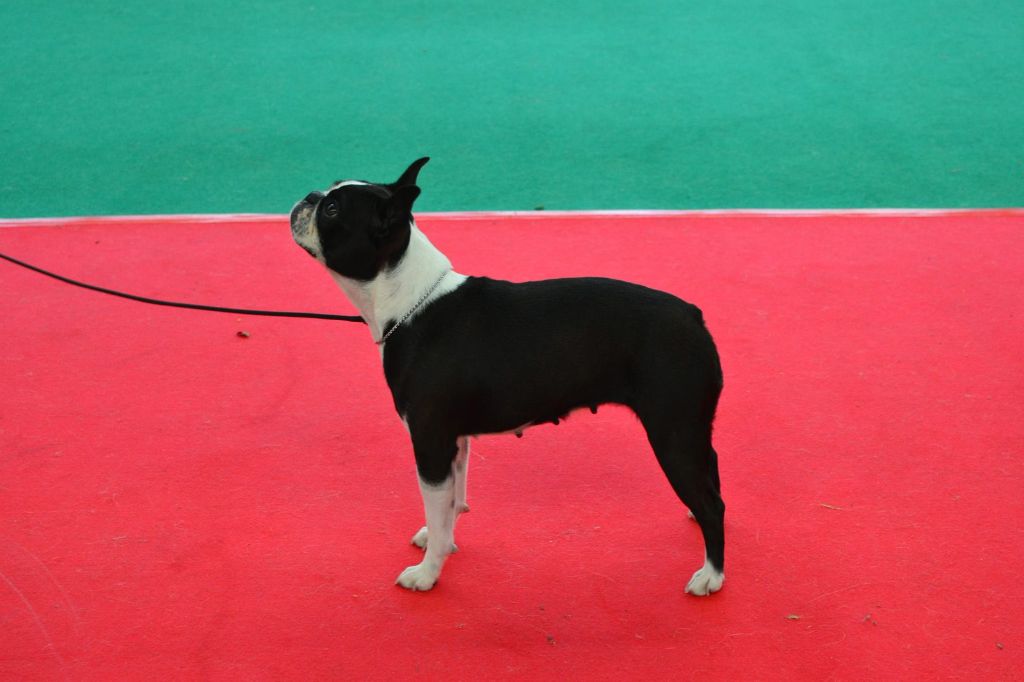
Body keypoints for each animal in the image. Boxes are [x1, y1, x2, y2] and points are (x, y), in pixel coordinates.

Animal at [286, 159, 729, 593]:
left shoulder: (430, 441)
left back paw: (711, 575)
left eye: (332, 209)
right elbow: (452, 502)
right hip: (691, 429)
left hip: (672, 434)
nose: (309, 196)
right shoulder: (454, 441)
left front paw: (428, 573)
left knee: (712, 504)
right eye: (329, 190)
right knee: (710, 469)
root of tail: (693, 315)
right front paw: (439, 539)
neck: (409, 301)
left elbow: (437, 503)